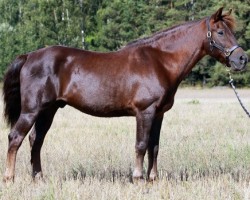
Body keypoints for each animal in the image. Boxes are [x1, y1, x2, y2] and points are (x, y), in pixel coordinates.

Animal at [1, 7, 248, 182]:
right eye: (220, 32)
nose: (242, 59)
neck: (159, 61)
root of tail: (29, 56)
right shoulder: (144, 112)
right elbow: (141, 144)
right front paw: (138, 178)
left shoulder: (158, 114)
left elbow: (154, 146)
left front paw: (153, 179)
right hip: (31, 110)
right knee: (16, 138)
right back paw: (10, 178)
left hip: (48, 110)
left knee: (36, 140)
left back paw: (38, 177)